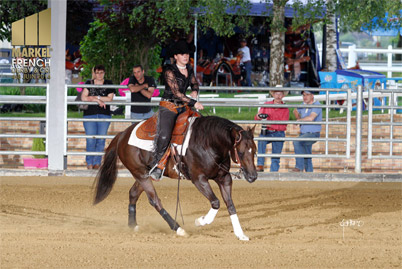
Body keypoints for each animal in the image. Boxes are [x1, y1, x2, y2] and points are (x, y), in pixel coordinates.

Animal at [93, 114, 258, 240]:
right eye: (241, 152)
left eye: (255, 150)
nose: (253, 176)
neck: (207, 142)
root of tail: (123, 134)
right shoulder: (199, 179)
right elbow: (216, 202)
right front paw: (201, 221)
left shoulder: (224, 178)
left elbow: (230, 205)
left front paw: (240, 234)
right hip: (140, 174)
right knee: (155, 200)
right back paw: (178, 229)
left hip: (145, 174)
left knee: (133, 194)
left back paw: (133, 225)